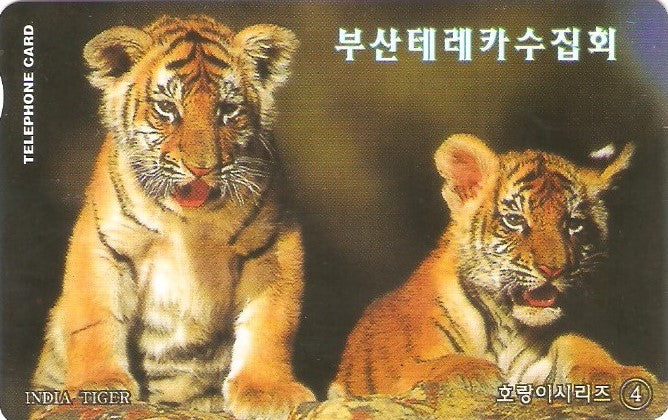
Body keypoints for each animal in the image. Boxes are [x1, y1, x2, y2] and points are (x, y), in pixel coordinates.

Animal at [32, 15, 316, 418]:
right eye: (167, 108)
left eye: (227, 110)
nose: (201, 168)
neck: (189, 220)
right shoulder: (105, 242)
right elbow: (94, 317)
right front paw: (95, 384)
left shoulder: (272, 242)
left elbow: (271, 320)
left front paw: (267, 390)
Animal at [330, 134, 655, 398]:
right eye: (515, 220)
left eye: (573, 225)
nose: (553, 270)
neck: (507, 328)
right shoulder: (397, 370)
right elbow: (428, 366)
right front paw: (474, 371)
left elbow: (579, 343)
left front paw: (617, 374)